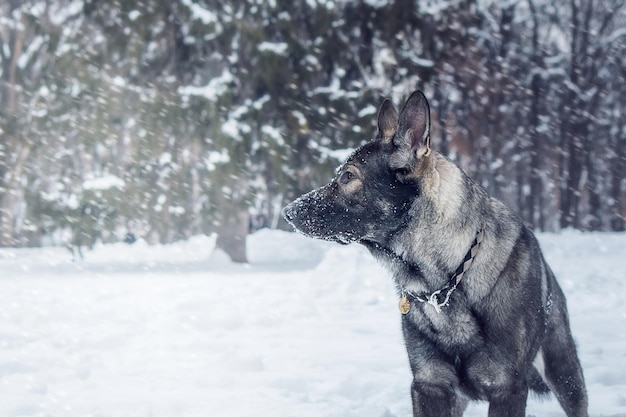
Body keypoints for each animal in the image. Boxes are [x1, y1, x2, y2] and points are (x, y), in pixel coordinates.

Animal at [282, 90, 584, 416]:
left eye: (348, 176)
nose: (287, 212)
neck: (446, 281)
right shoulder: (430, 385)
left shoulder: (508, 389)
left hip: (564, 373)